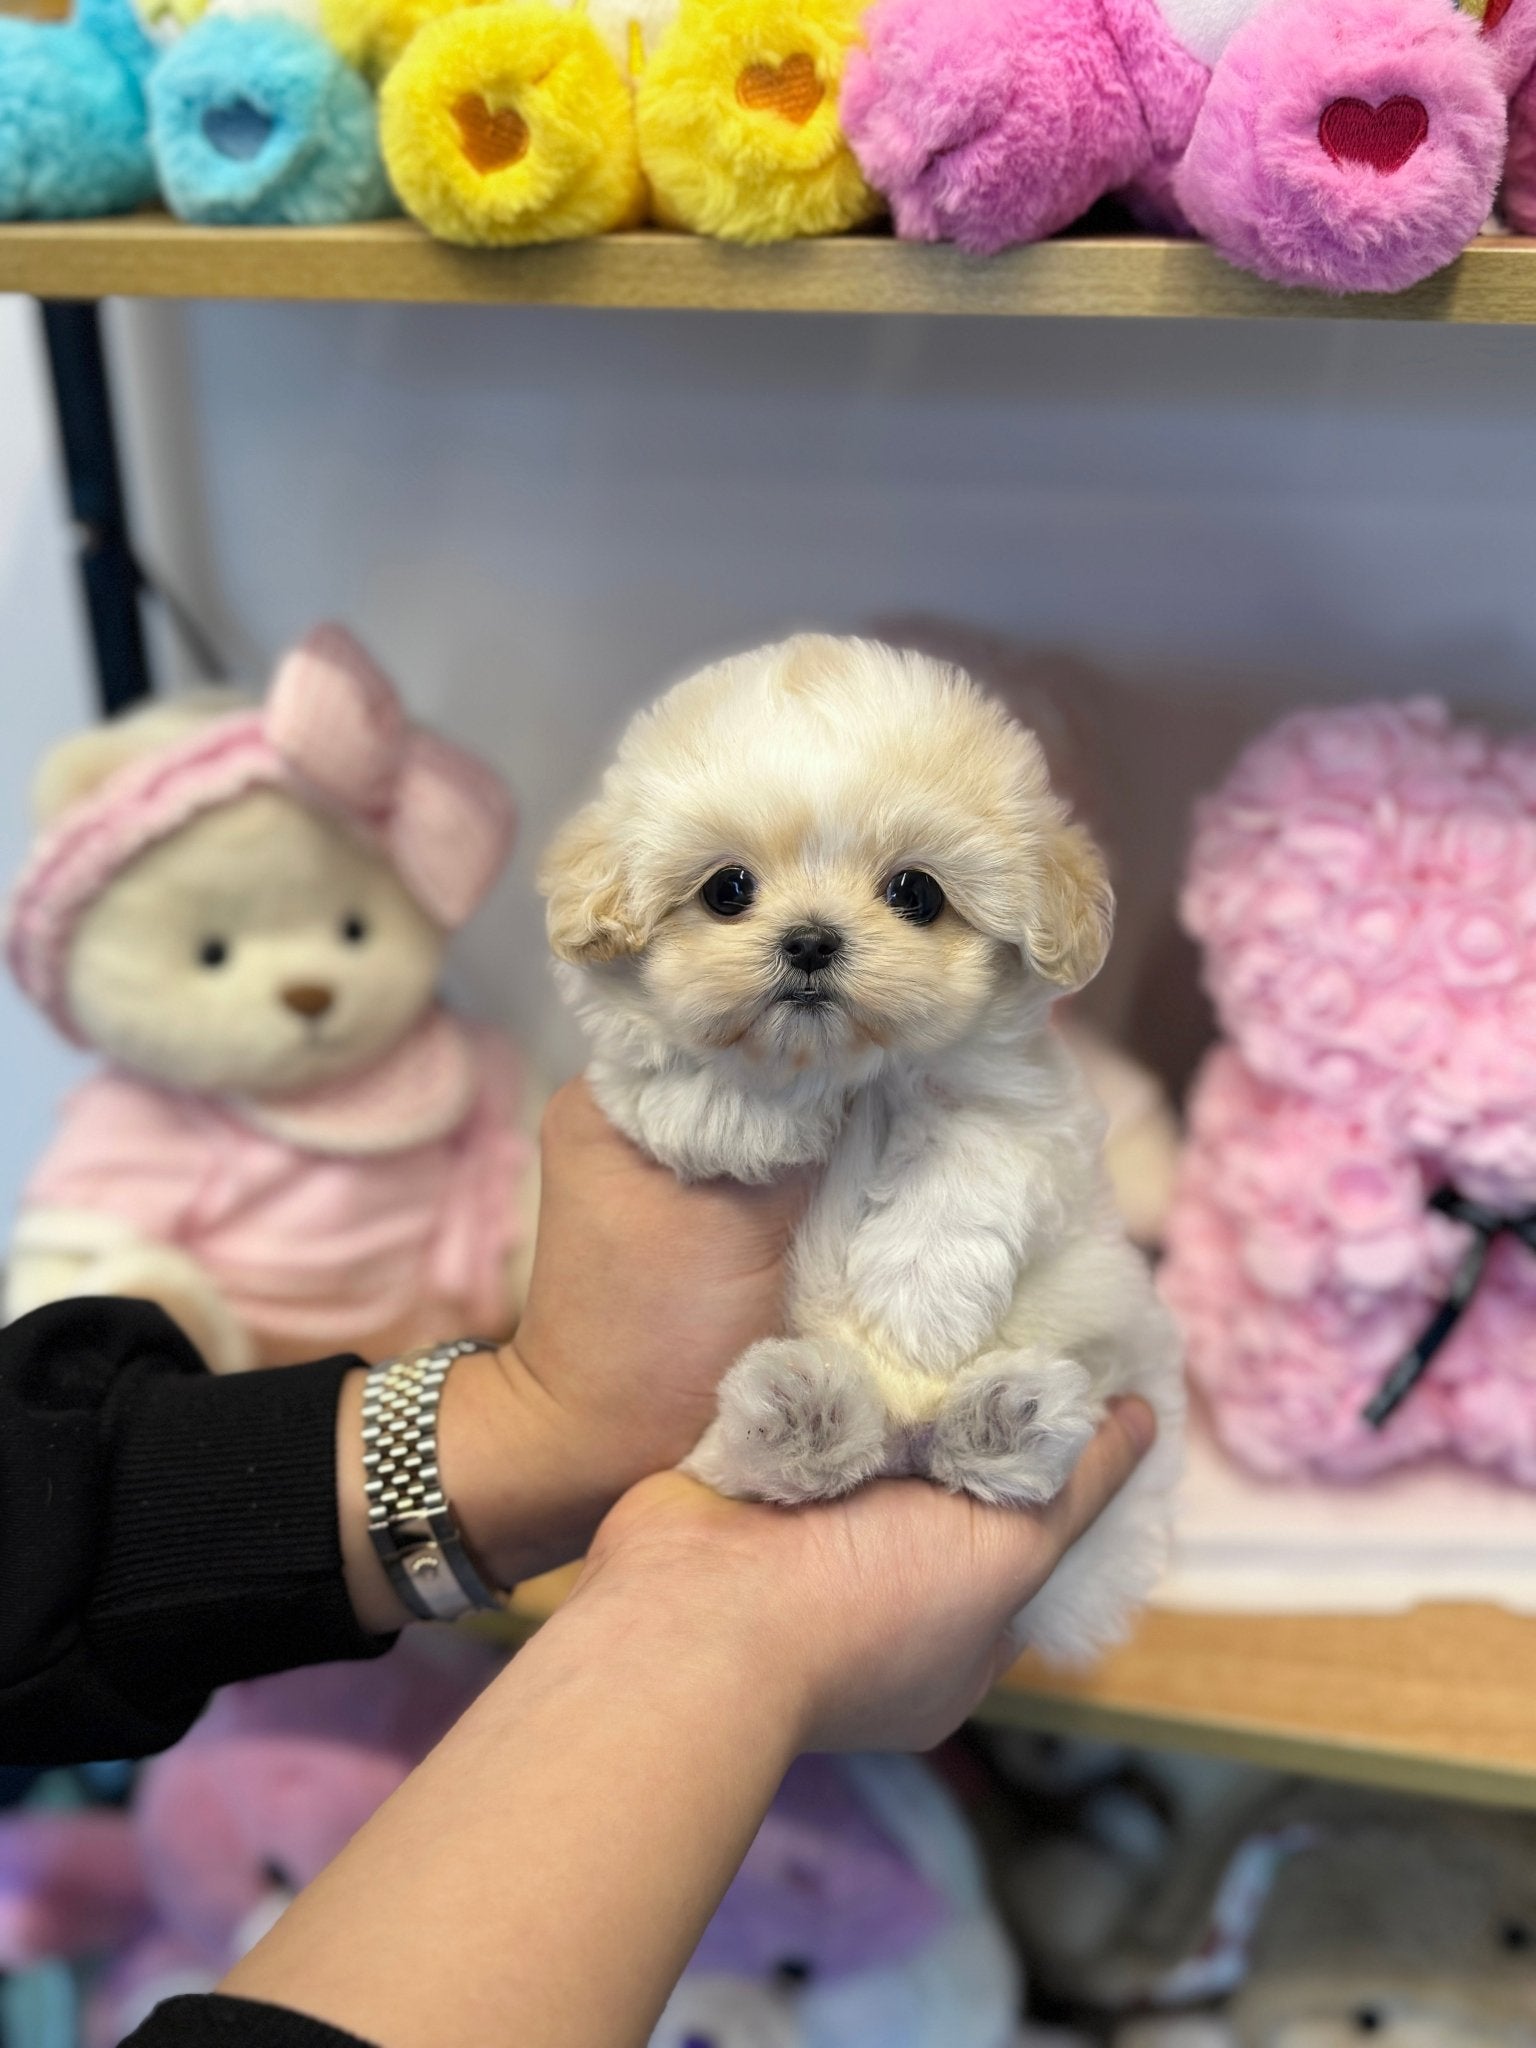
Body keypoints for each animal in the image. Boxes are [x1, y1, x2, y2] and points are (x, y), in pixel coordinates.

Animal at [548, 638, 1187, 1662]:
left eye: (915, 893)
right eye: (727, 889)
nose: (810, 940)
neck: (847, 1069)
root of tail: (900, 1428)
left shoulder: (1024, 1101)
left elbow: (974, 1154)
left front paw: (918, 1306)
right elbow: (674, 1072)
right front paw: (738, 1111)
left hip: (1108, 1333)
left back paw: (1007, 1417)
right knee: (773, 1464)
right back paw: (801, 1417)